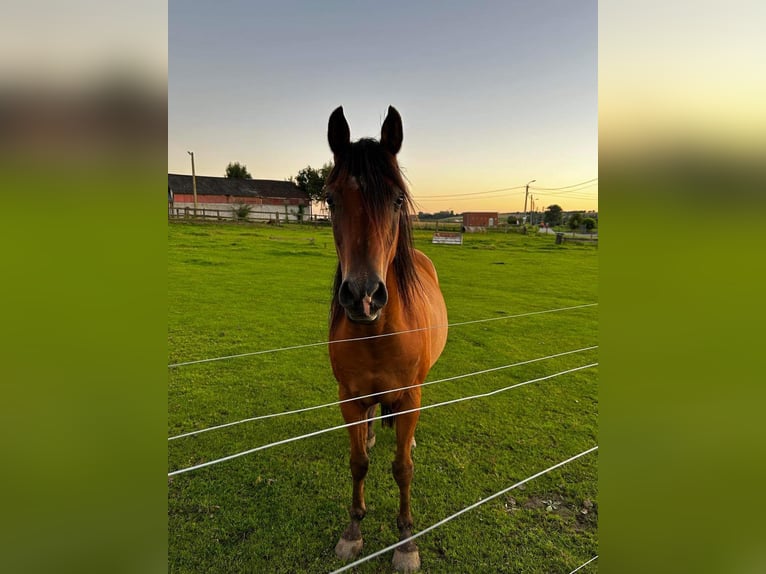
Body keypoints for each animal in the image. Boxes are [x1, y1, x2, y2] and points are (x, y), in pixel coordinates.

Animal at [326, 106, 450, 572]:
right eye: (330, 199)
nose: (363, 296)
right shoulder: (348, 397)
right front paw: (352, 531)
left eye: (397, 199)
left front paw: (406, 542)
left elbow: (403, 469)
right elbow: (358, 463)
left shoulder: (411, 394)